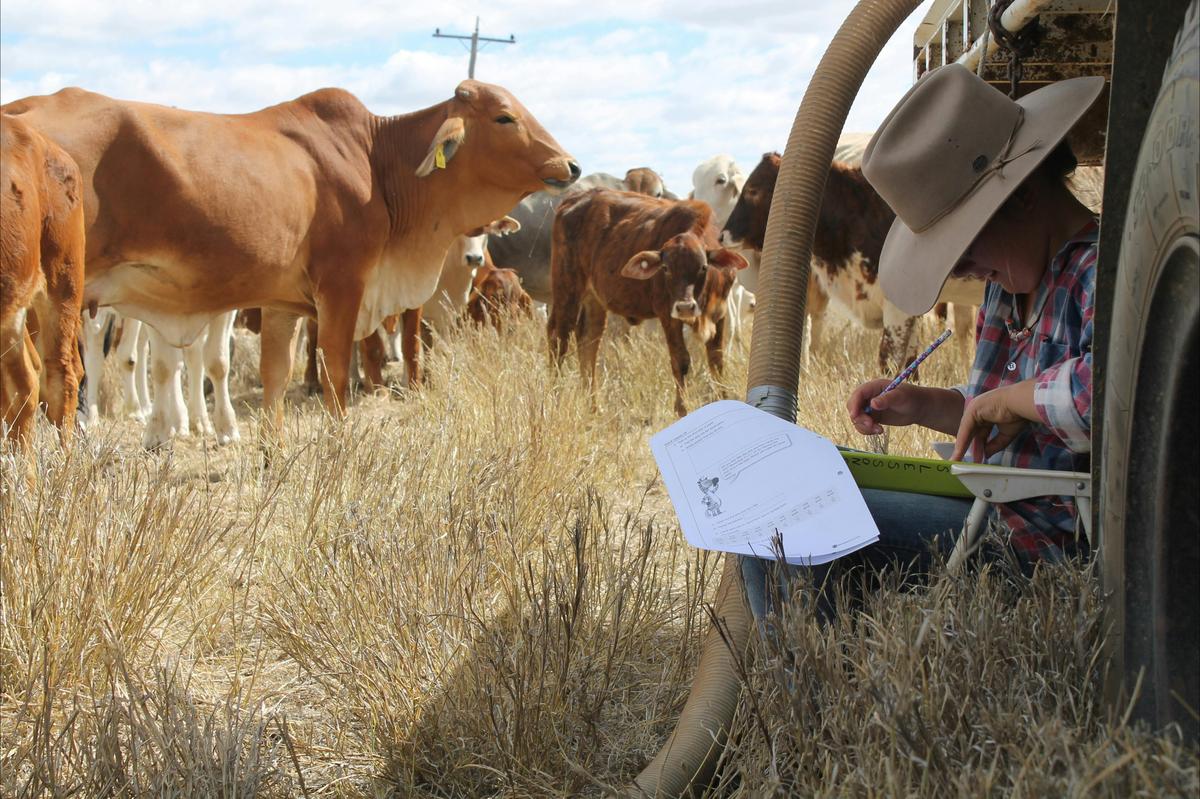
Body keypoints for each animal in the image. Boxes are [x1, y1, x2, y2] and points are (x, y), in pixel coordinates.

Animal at [548, 189, 747, 417]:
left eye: (703, 267)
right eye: (666, 268)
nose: (685, 307)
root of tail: (577, 197)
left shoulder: (720, 314)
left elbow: (717, 361)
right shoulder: (668, 314)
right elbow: (681, 361)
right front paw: (682, 409)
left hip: (594, 300)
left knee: (588, 342)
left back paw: (593, 407)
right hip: (567, 289)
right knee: (559, 339)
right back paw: (554, 398)